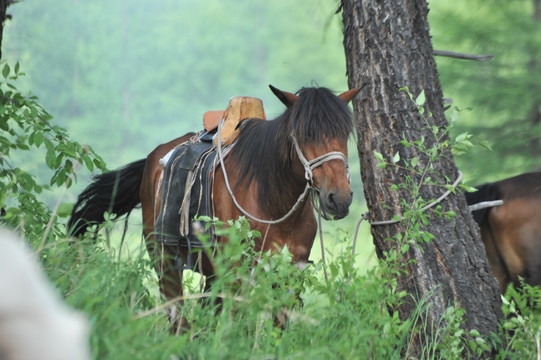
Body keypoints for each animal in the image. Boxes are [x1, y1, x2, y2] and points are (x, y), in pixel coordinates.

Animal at [67, 84, 358, 326]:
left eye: (344, 133)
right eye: (304, 134)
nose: (339, 198)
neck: (274, 202)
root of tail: (152, 159)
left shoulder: (290, 273)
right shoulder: (238, 272)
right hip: (164, 259)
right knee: (177, 316)